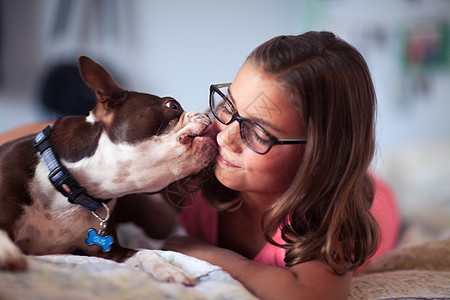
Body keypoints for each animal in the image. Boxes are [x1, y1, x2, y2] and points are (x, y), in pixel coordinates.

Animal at [0, 55, 216, 284]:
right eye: (172, 105)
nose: (208, 116)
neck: (73, 189)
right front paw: (6, 251)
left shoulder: (110, 253)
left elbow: (146, 252)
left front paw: (169, 269)